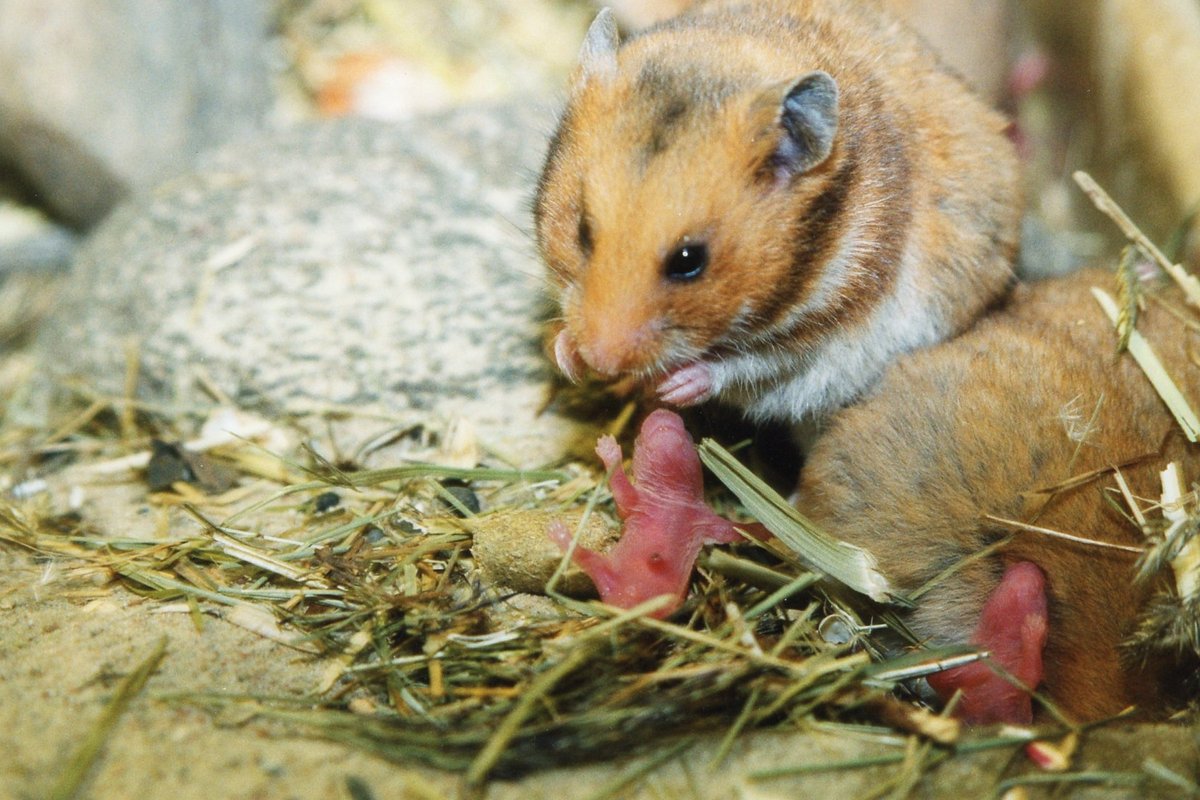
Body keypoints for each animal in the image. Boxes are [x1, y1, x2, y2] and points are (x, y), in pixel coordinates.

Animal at [540, 3, 1017, 429]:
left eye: (689, 261)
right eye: (583, 231)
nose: (601, 361)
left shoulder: (829, 324)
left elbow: (750, 361)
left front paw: (675, 385)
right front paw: (567, 356)